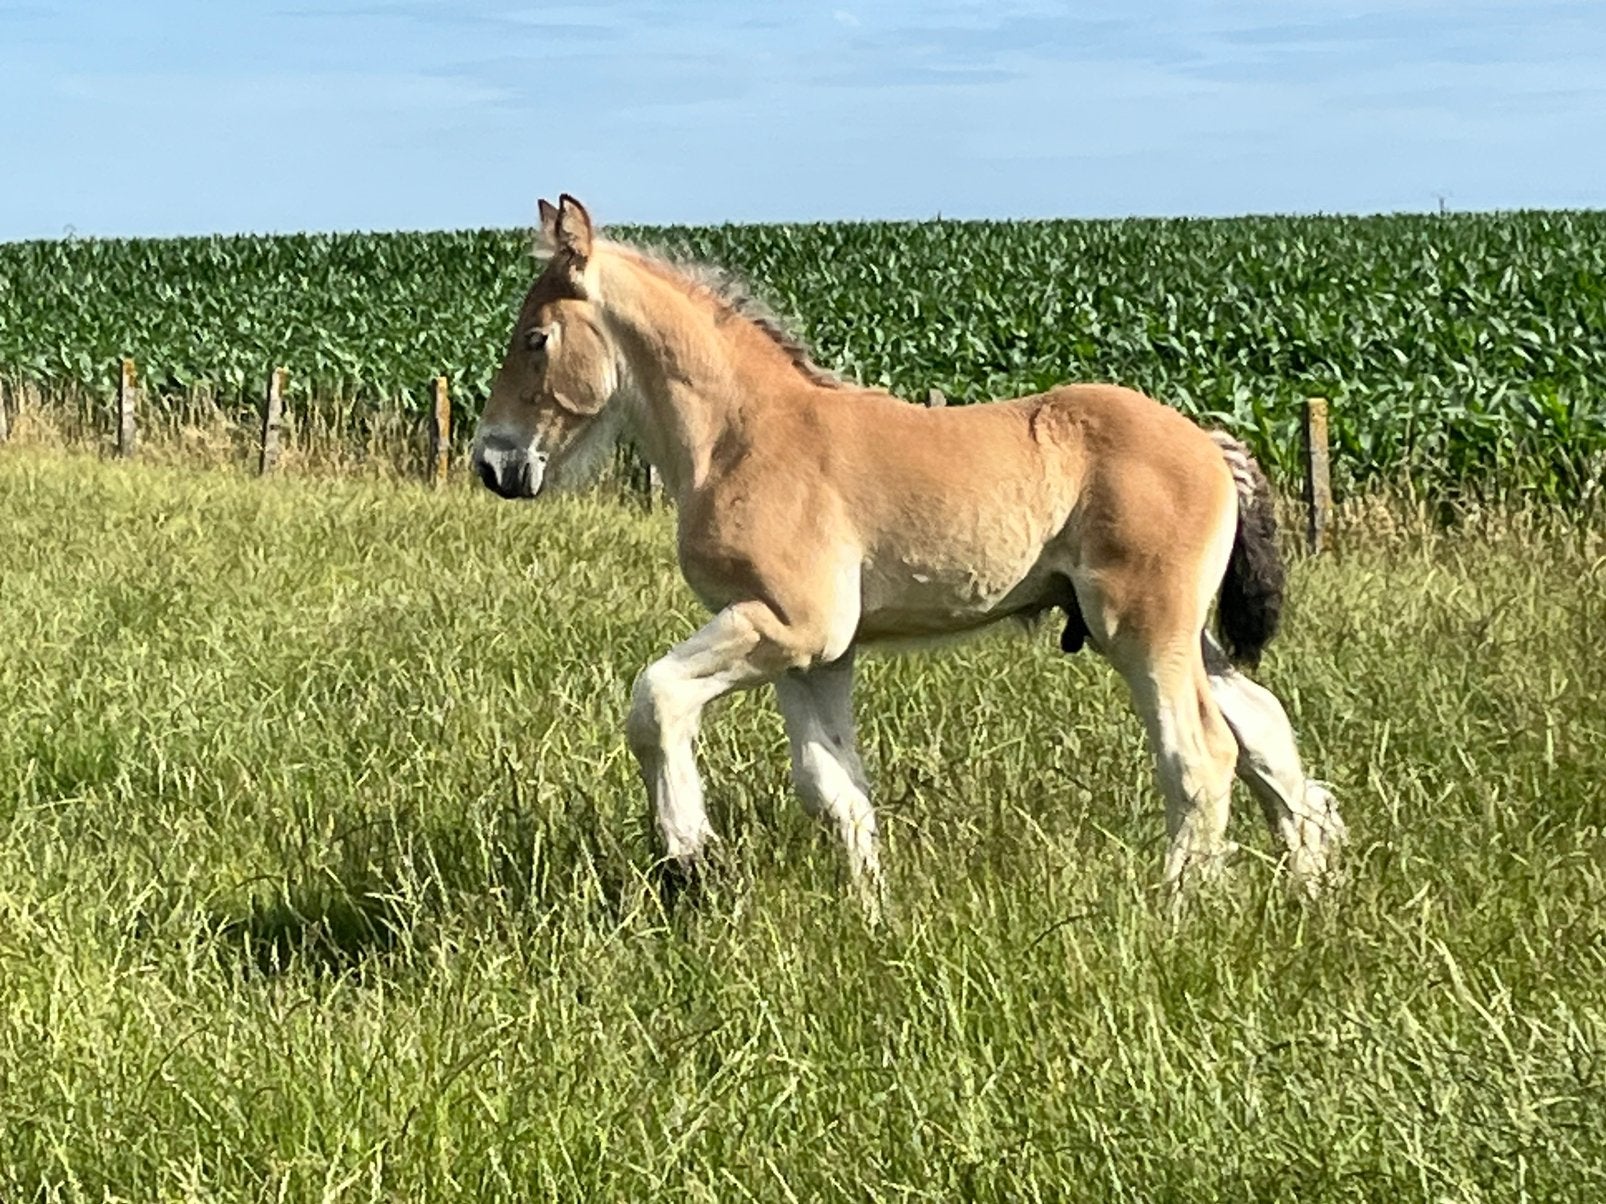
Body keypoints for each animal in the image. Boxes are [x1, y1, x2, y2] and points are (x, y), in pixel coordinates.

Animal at [471, 194, 1347, 918]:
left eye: (535, 338)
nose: (492, 463)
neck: (742, 437)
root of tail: (1209, 440)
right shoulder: (815, 654)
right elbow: (833, 788)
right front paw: (873, 917)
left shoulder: (788, 624)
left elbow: (655, 698)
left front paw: (689, 858)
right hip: (1186, 634)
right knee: (1264, 730)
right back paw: (1307, 883)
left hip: (1143, 627)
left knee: (1200, 753)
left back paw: (1175, 908)